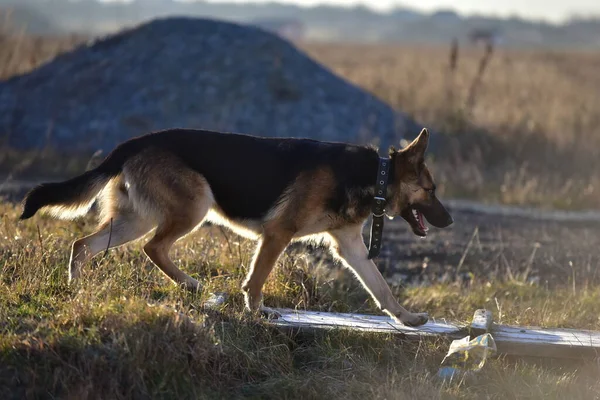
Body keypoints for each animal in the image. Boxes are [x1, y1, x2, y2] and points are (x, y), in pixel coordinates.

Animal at [18, 128, 452, 328]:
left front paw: (406, 318)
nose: (449, 221)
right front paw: (256, 313)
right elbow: (256, 279)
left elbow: (381, 287)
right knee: (153, 248)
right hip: (193, 207)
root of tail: (134, 142)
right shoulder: (278, 234)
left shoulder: (351, 248)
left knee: (83, 245)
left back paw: (77, 289)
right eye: (431, 190)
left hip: (135, 219)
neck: (374, 176)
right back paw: (189, 284)